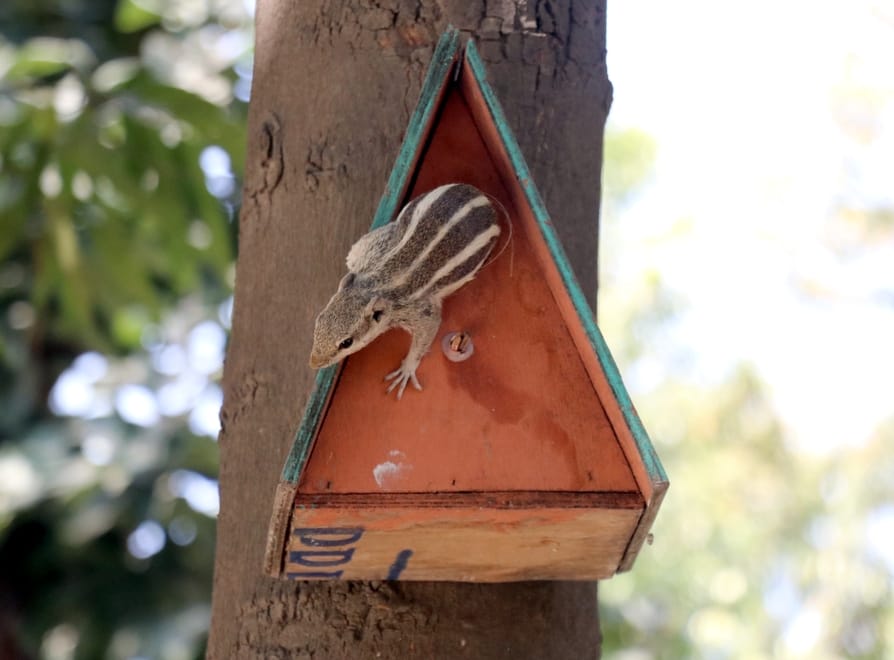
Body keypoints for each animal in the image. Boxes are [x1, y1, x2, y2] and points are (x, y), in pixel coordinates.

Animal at [309, 183, 501, 399]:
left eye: (347, 342)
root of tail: (481, 196)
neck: (377, 282)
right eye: (319, 322)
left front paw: (406, 371)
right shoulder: (369, 251)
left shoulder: (417, 311)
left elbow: (428, 330)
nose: (313, 363)